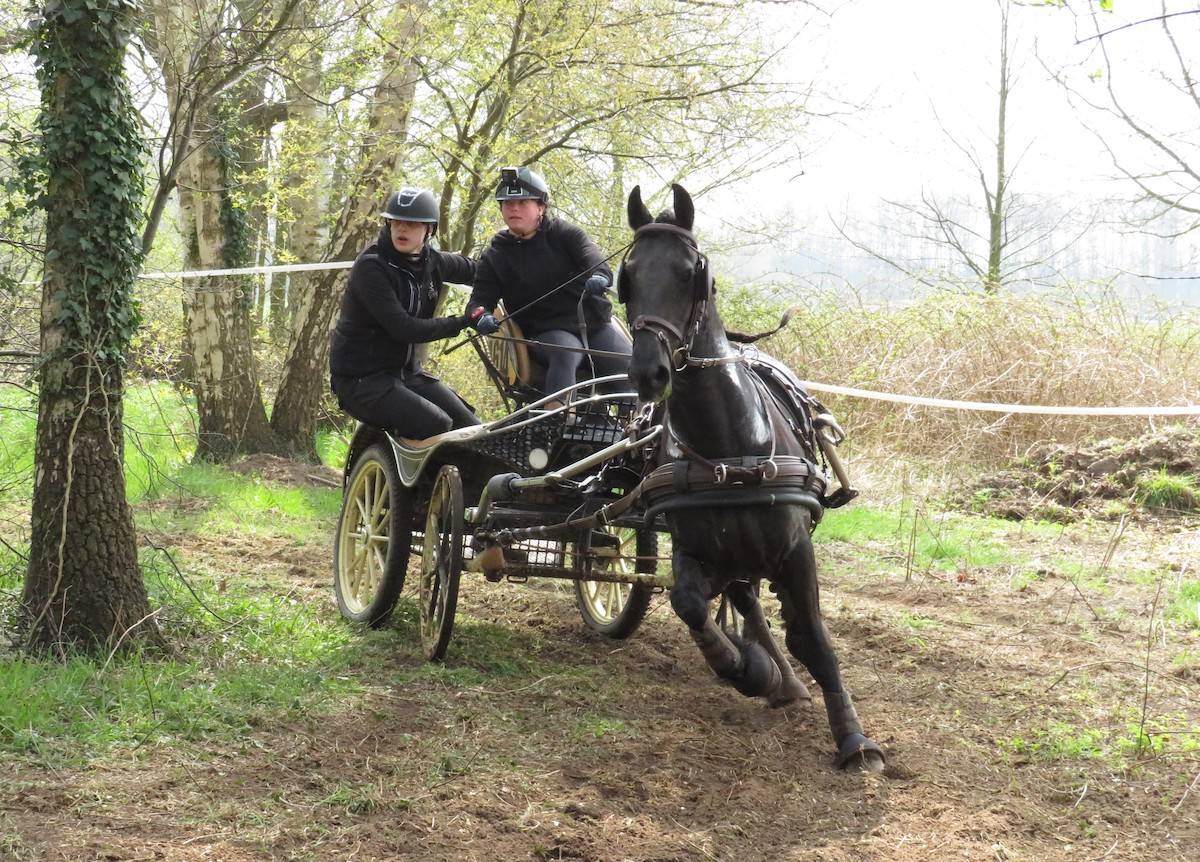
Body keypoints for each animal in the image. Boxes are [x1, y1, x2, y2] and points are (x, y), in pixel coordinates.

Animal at [619, 180, 883, 768]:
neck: (730, 448)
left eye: (691, 271)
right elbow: (690, 605)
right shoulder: (695, 550)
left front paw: (854, 739)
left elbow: (814, 638)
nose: (649, 372)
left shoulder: (795, 551)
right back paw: (776, 677)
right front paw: (746, 669)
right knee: (746, 603)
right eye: (629, 277)